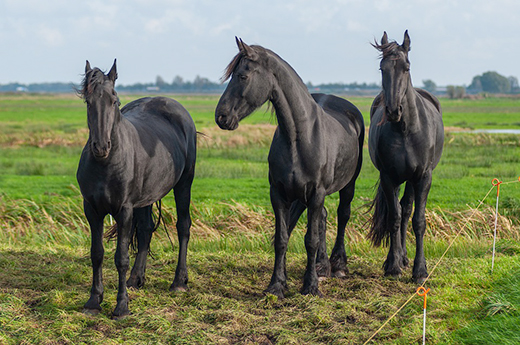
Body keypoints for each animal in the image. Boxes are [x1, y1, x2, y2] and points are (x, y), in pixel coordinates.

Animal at [77, 60, 197, 318]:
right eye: (89, 102)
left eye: (115, 100)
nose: (101, 147)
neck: (106, 164)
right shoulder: (92, 210)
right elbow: (97, 254)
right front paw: (94, 301)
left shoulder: (124, 210)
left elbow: (121, 258)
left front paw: (122, 306)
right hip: (145, 198)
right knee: (145, 229)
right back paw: (136, 279)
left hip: (184, 184)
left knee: (183, 227)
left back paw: (179, 282)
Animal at [213, 37, 364, 296]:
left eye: (242, 76)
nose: (221, 117)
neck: (299, 137)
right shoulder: (280, 194)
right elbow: (282, 238)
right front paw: (277, 284)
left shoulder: (316, 193)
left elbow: (310, 239)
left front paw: (310, 286)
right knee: (322, 218)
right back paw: (322, 266)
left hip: (347, 186)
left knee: (342, 215)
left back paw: (338, 266)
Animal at [368, 30, 444, 282]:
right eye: (382, 68)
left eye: (406, 67)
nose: (393, 111)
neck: (405, 130)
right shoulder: (388, 177)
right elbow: (394, 217)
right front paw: (392, 265)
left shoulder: (423, 177)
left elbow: (418, 220)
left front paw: (420, 270)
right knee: (400, 211)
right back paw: (397, 258)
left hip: (411, 180)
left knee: (407, 209)